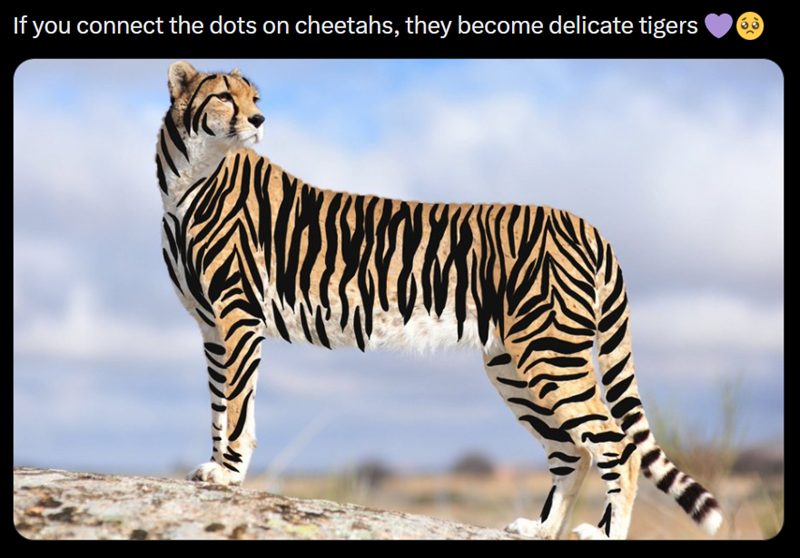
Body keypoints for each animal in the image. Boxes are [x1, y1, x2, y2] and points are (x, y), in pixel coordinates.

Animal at [156, 61, 723, 540]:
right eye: (224, 95)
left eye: (254, 97)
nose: (258, 119)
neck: (188, 180)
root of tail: (586, 222)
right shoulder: (213, 326)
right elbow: (222, 404)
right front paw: (218, 470)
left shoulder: (237, 316)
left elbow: (235, 405)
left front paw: (227, 474)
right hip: (513, 364)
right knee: (570, 451)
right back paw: (541, 529)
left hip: (549, 353)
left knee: (616, 444)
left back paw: (604, 534)